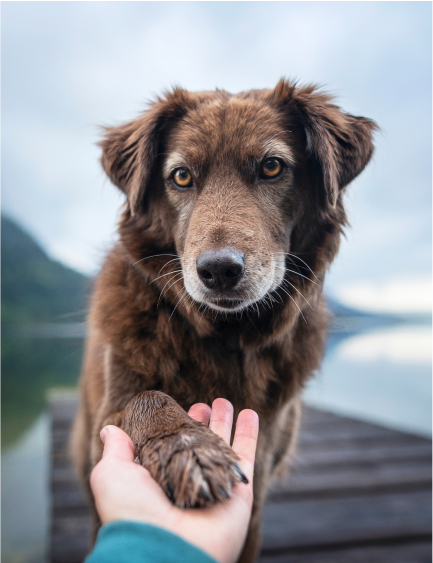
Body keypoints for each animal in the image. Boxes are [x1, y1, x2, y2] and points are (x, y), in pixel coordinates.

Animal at [71, 80, 374, 563]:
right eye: (180, 176)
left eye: (272, 167)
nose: (218, 271)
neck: (226, 336)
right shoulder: (110, 414)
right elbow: (148, 399)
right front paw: (188, 447)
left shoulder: (260, 482)